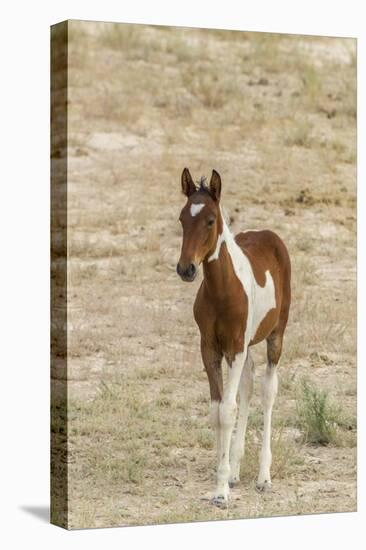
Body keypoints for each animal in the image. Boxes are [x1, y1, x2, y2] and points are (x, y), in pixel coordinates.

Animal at [177, 167, 292, 508]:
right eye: (181, 219)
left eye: (210, 220)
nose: (186, 269)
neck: (221, 291)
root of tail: (268, 233)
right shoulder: (210, 348)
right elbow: (217, 410)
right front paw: (223, 476)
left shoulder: (236, 347)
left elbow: (227, 410)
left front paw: (220, 493)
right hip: (245, 346)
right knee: (248, 387)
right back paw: (236, 470)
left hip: (274, 335)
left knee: (267, 390)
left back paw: (263, 477)